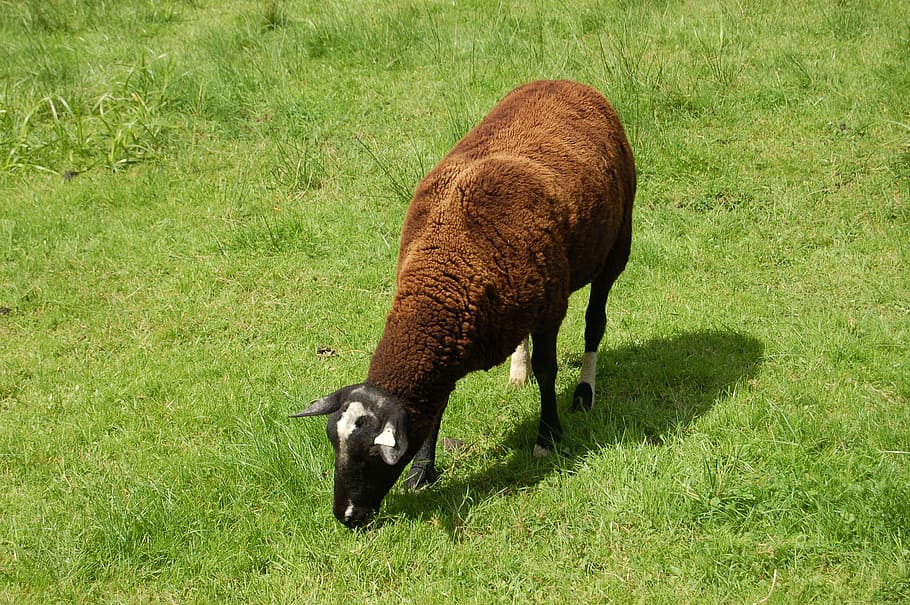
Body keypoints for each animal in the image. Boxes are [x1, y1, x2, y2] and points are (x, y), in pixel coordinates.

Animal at [292, 79, 636, 527]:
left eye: (376, 454)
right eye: (334, 443)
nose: (346, 516)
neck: (444, 270)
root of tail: (567, 83)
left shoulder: (550, 308)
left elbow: (549, 370)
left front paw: (548, 436)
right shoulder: (460, 334)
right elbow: (437, 405)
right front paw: (423, 472)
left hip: (616, 245)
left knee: (596, 322)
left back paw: (583, 393)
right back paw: (518, 371)